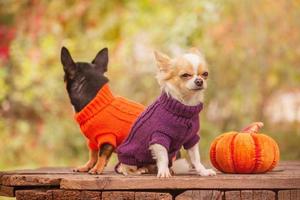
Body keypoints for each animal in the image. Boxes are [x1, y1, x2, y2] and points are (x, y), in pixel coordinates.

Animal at [116, 47, 216, 177]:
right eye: (185, 75)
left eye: (205, 74)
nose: (199, 81)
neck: (185, 104)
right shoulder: (159, 136)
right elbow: (163, 157)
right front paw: (163, 171)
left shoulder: (192, 138)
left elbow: (196, 158)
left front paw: (203, 171)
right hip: (129, 157)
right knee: (125, 168)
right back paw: (138, 170)